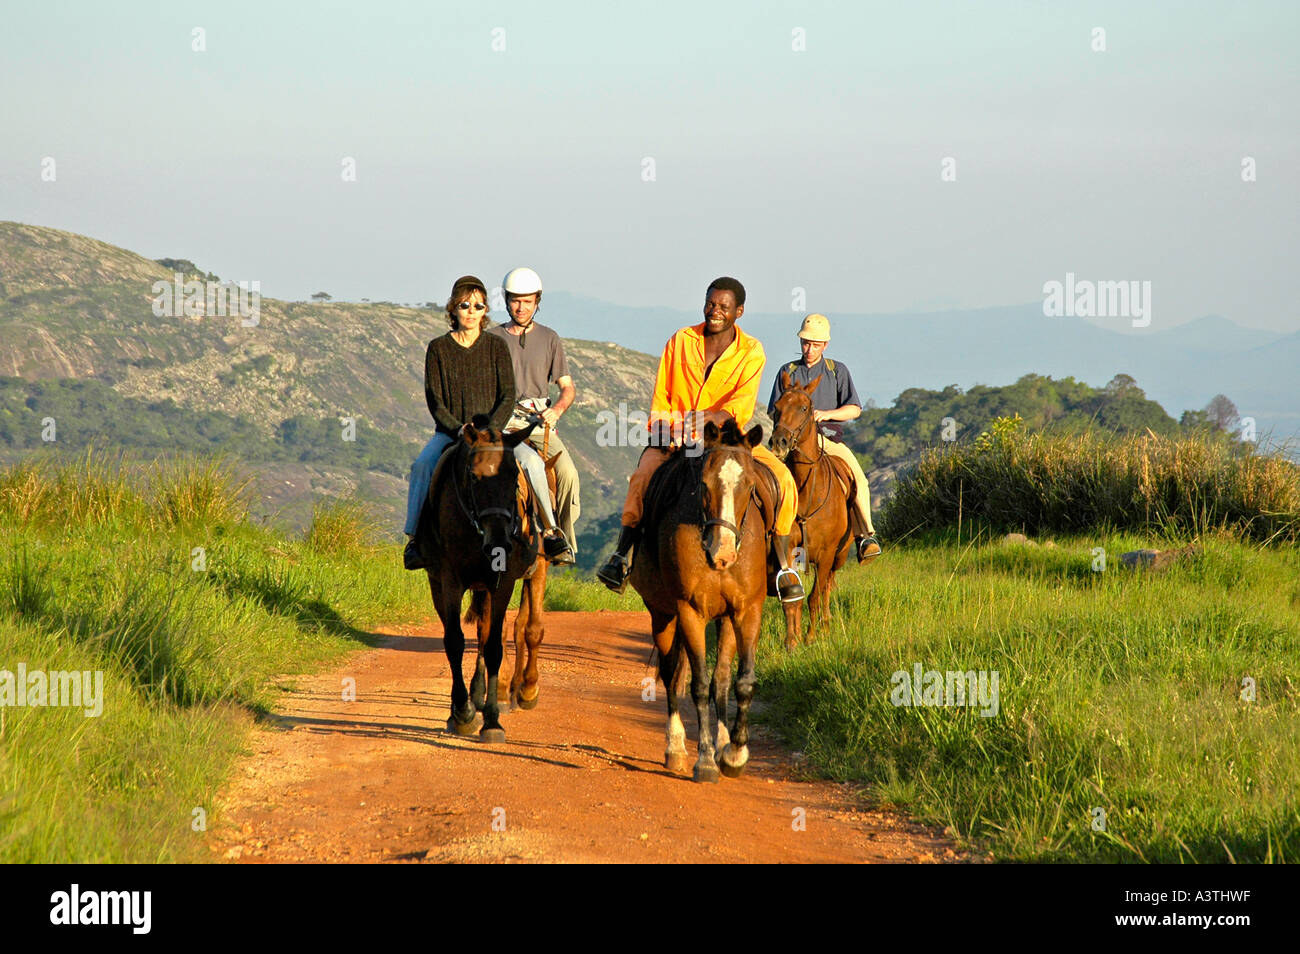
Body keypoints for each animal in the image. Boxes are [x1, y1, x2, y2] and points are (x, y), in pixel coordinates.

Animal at [416, 414, 541, 742]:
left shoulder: (503, 582)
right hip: (439, 583)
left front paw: (492, 720)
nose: (498, 542)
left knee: (487, 636)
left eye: (514, 476)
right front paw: (462, 713)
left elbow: (493, 645)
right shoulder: (449, 580)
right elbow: (454, 641)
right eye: (473, 477)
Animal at [628, 418, 769, 783]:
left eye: (750, 485)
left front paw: (734, 753)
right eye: (704, 484)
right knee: (671, 674)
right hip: (663, 615)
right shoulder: (689, 611)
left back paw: (721, 743)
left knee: (721, 678)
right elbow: (699, 685)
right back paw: (676, 748)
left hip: (724, 620)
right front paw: (705, 759)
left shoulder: (746, 611)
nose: (723, 553)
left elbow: (741, 681)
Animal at [768, 370, 854, 648]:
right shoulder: (786, 547)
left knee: (826, 586)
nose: (780, 441)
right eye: (777, 408)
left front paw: (811, 635)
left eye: (804, 408)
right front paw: (792, 639)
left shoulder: (827, 554)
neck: (808, 494)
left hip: (839, 555)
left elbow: (815, 595)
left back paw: (826, 625)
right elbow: (791, 595)